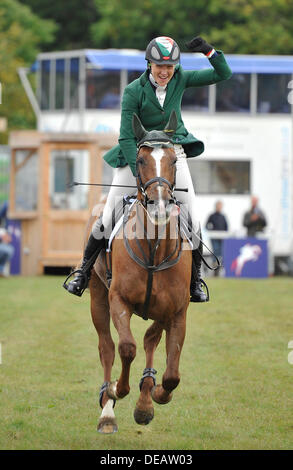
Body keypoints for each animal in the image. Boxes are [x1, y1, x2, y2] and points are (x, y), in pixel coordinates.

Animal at [90, 111, 193, 434]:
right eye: (140, 160)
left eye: (173, 160)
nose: (160, 206)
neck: (153, 247)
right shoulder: (118, 300)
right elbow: (126, 348)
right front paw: (116, 390)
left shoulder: (177, 311)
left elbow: (172, 374)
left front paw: (156, 395)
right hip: (97, 298)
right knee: (107, 347)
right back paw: (107, 411)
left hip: (159, 312)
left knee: (150, 339)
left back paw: (146, 398)